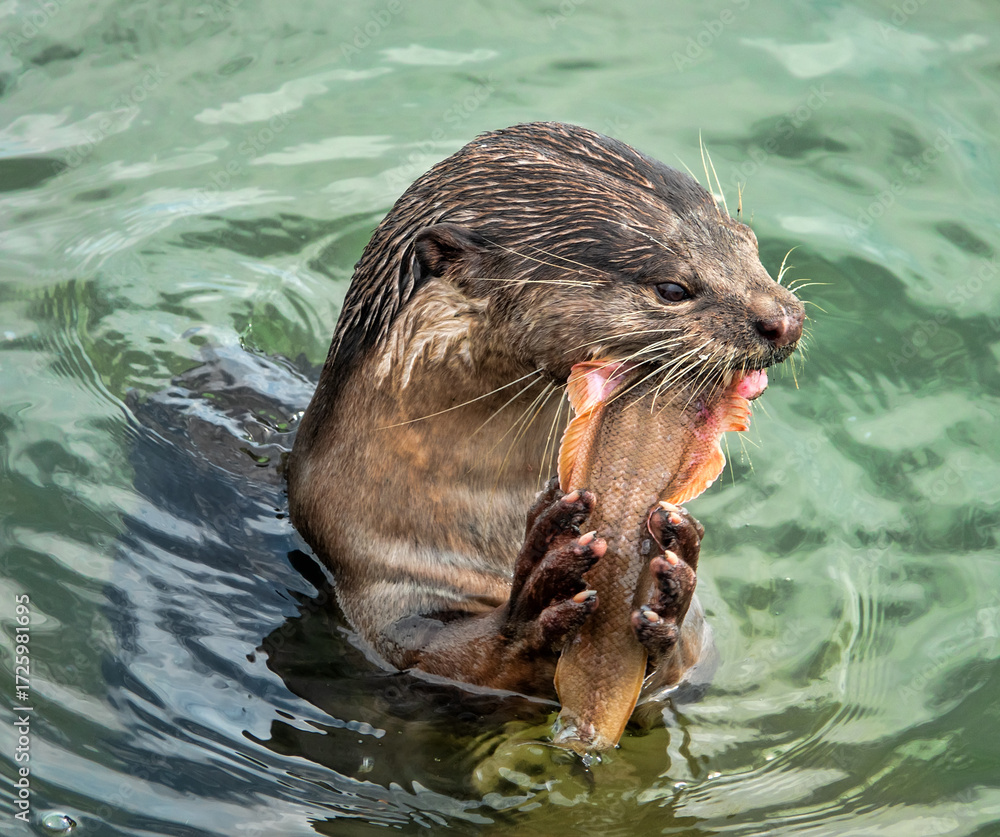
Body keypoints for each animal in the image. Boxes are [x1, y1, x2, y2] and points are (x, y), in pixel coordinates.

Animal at [287, 122, 803, 704]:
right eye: (672, 288)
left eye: (747, 239)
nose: (784, 319)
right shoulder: (380, 593)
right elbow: (452, 656)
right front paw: (539, 587)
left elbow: (686, 659)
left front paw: (673, 583)